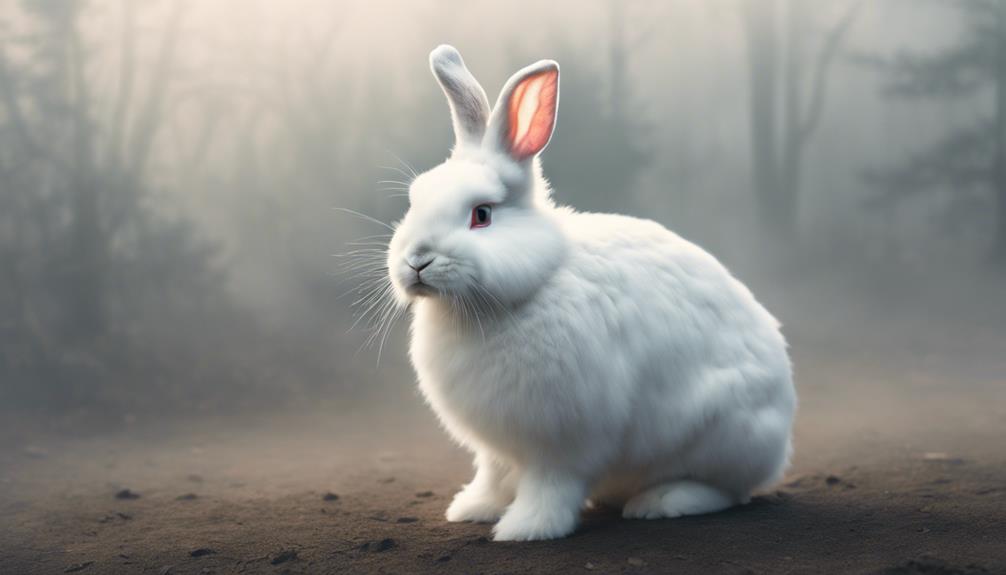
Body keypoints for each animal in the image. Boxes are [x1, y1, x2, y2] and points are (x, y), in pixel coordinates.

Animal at [383, 45, 796, 541]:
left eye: (481, 215)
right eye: (415, 200)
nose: (416, 261)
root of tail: (781, 437)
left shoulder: (563, 438)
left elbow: (550, 485)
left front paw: (526, 528)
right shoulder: (498, 447)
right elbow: (494, 475)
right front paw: (472, 508)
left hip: (717, 432)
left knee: (725, 490)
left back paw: (661, 503)